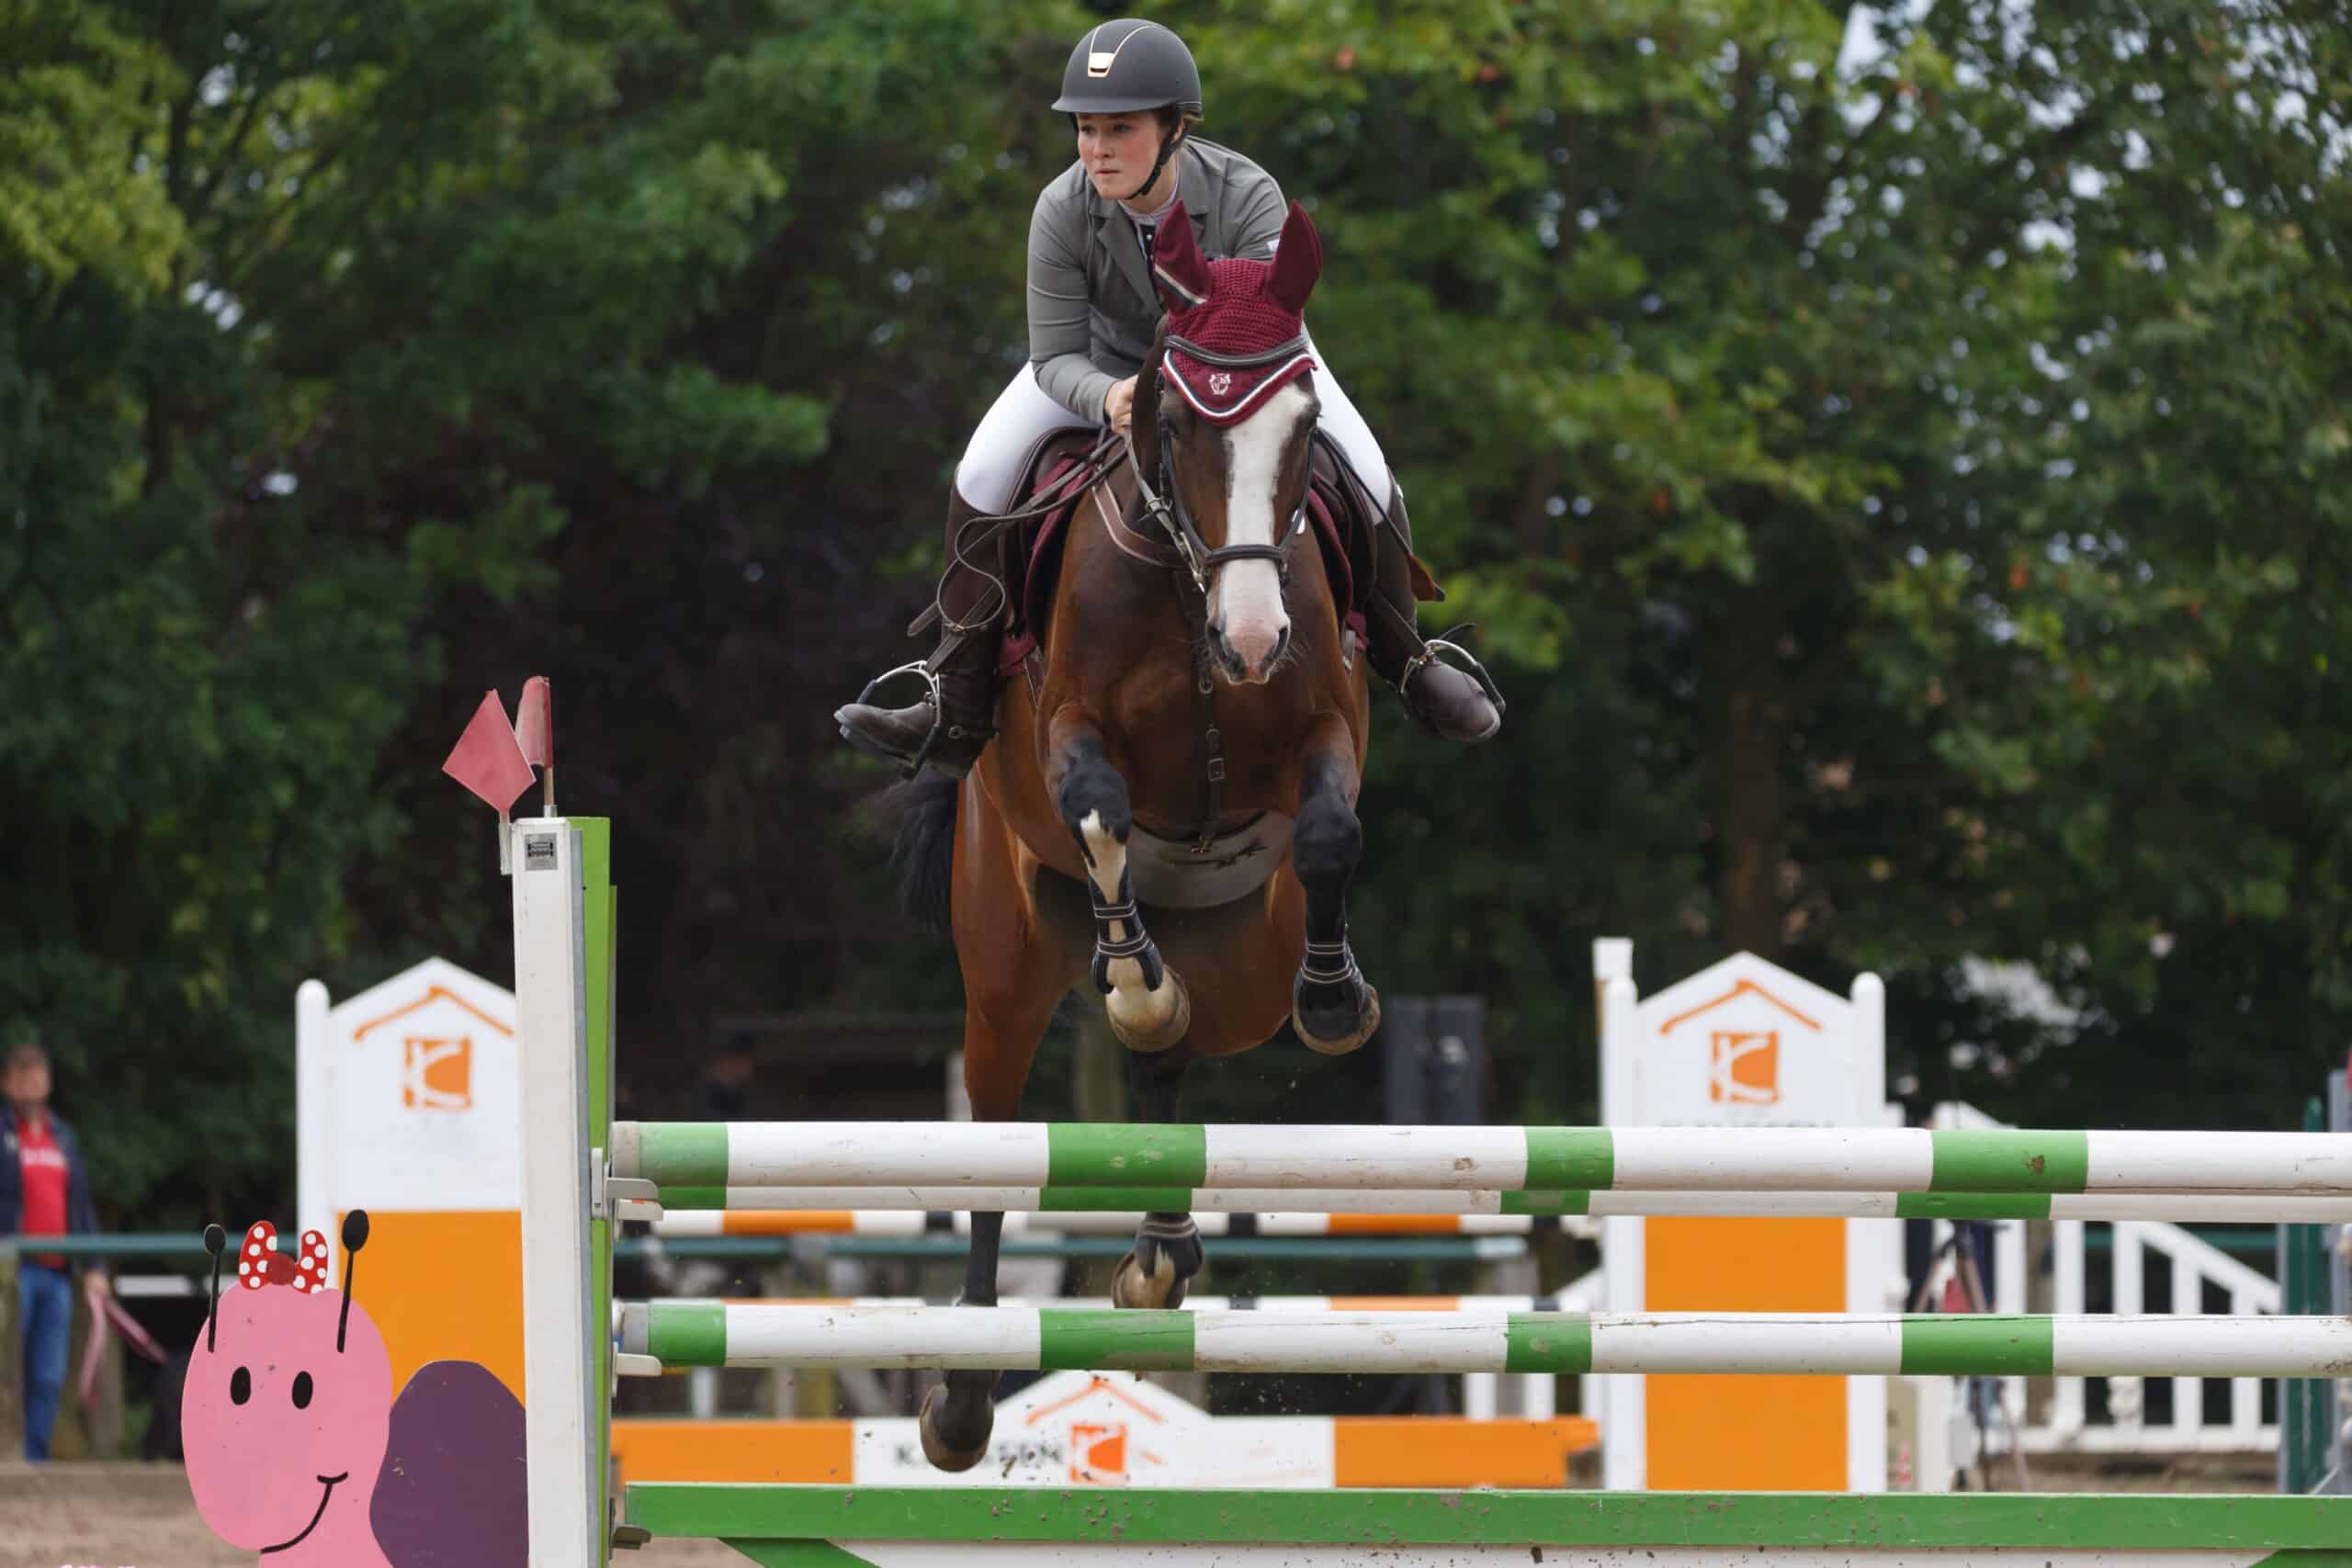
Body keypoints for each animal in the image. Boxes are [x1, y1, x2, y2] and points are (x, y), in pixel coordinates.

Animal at [893, 199, 1374, 1476]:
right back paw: (962, 1398)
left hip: (1241, 964)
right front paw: (1137, 985)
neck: (1190, 582)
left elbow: (1329, 828)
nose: (1251, 641)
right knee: (997, 1135)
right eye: (1182, 424)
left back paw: (1160, 1253)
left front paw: (1336, 999)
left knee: (1176, 1069)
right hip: (1004, 971)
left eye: (1304, 427)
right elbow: (1103, 810)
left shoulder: (1328, 724)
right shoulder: (1071, 731)